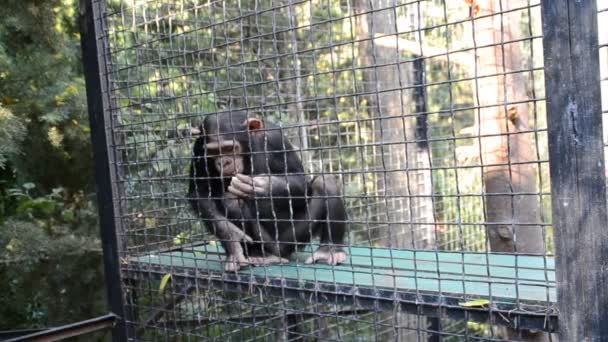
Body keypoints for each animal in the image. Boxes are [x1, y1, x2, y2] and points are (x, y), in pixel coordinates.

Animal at [188, 111, 346, 272]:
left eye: (229, 148)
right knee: (231, 201)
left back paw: (329, 250)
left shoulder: (276, 138)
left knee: (325, 182)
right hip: (265, 241)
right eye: (213, 151)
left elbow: (300, 180)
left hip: (293, 238)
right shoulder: (199, 148)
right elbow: (200, 192)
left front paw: (262, 185)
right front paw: (232, 237)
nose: (223, 162)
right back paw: (258, 255)